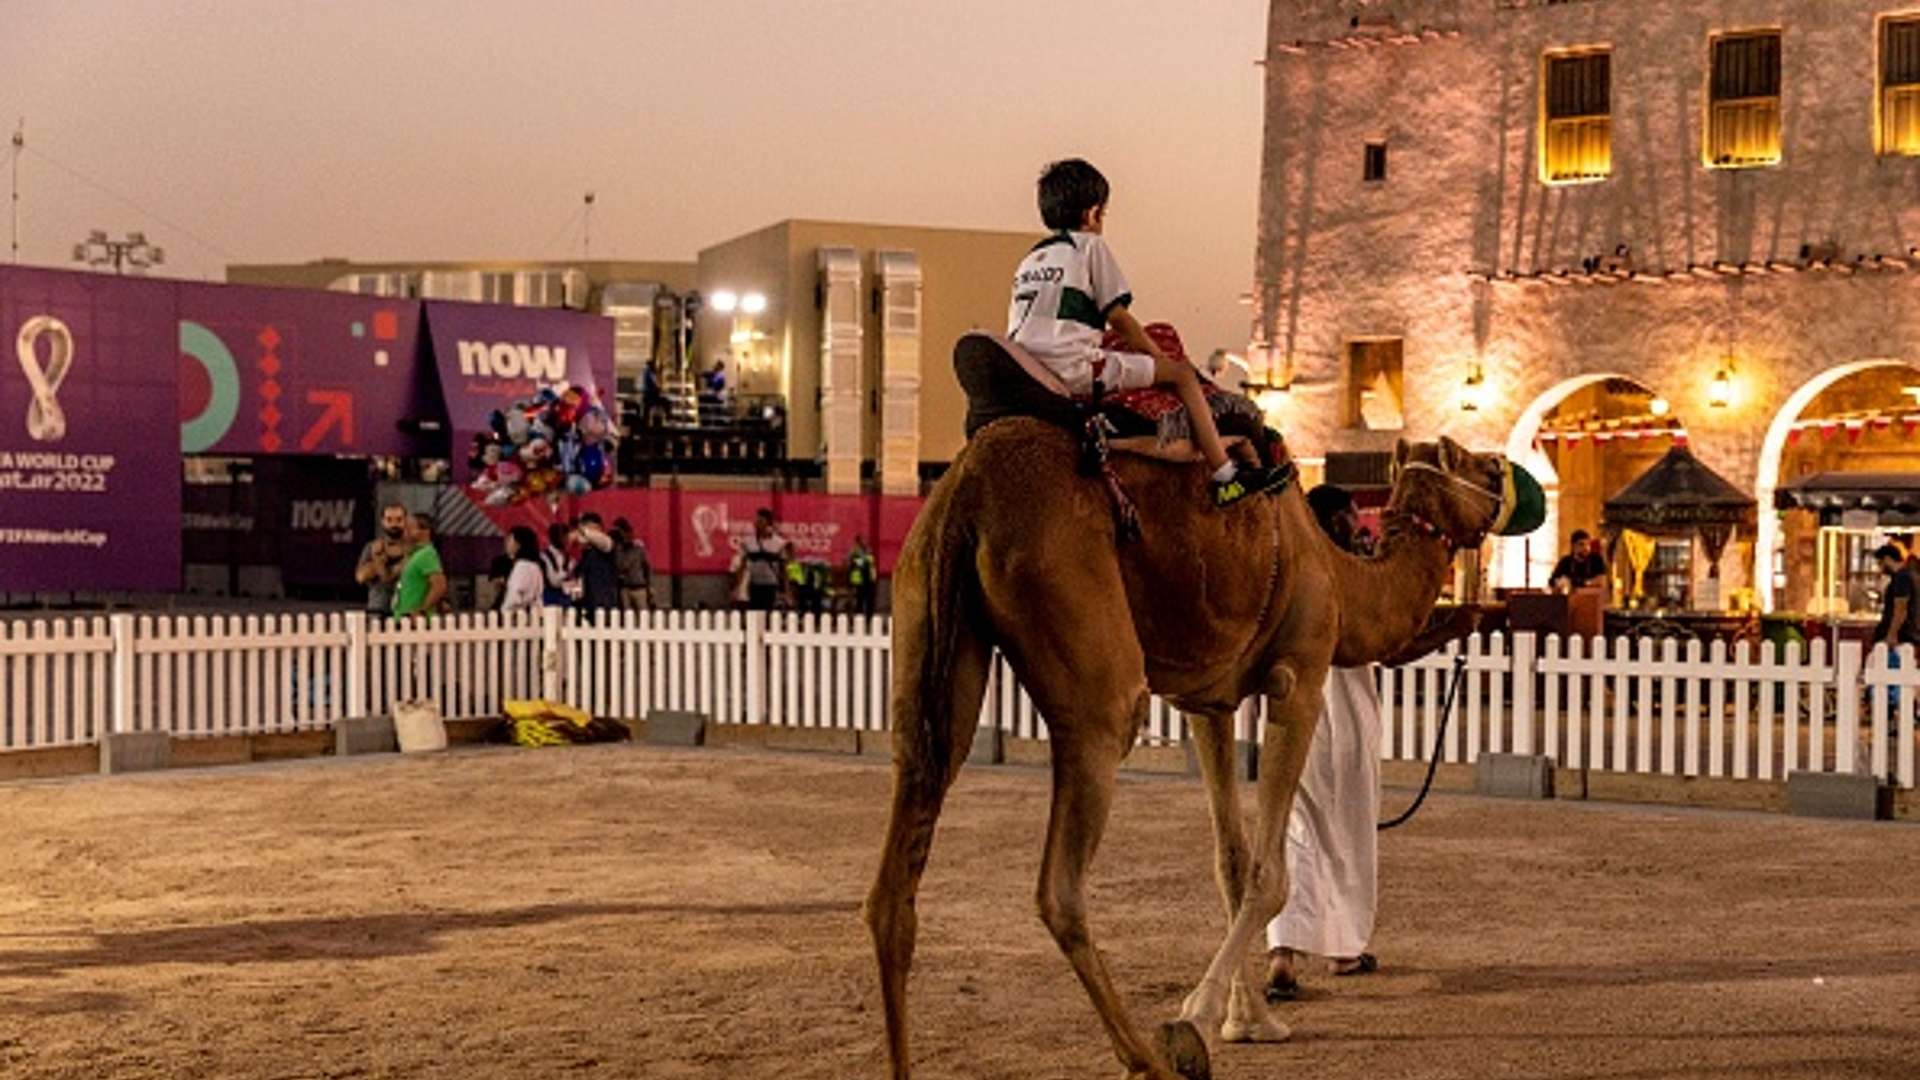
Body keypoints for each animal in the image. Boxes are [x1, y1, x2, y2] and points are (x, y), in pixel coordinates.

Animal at [865, 412, 1534, 1080]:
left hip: (928, 642)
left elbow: (1230, 863)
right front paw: (1195, 1020)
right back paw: (1148, 1060)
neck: (1336, 571)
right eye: (1480, 465)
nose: (1512, 480)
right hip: (1091, 669)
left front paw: (1251, 1020)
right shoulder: (1301, 675)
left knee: (896, 875)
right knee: (1061, 885)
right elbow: (1268, 872)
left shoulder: (1207, 703)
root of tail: (964, 494)